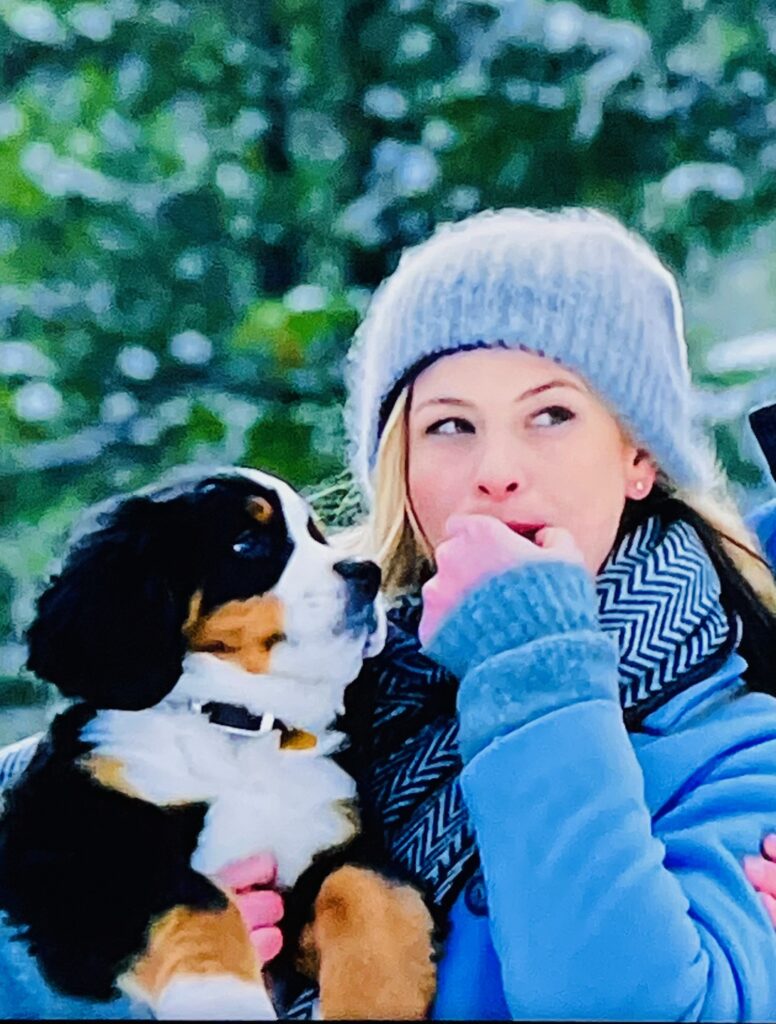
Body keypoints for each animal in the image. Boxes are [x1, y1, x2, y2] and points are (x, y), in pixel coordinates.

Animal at [0, 468, 438, 1019]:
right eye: (245, 542)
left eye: (315, 534)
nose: (367, 572)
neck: (238, 729)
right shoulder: (70, 842)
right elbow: (198, 901)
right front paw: (223, 998)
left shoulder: (329, 842)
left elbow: (363, 887)